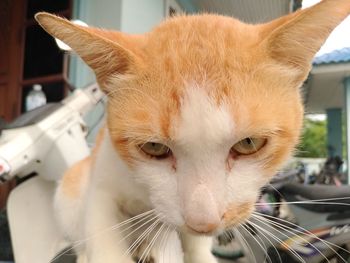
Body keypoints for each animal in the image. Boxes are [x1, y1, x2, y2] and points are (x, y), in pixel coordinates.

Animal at [34, 0, 350, 262]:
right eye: (154, 148)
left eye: (249, 143)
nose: (203, 222)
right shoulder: (103, 177)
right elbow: (101, 229)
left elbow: (196, 246)